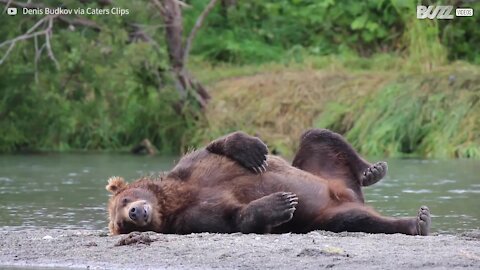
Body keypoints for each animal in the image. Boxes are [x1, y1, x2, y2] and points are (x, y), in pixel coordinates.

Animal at [105, 130, 432, 235]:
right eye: (122, 224)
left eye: (124, 199)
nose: (134, 212)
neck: (173, 200)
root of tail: (348, 193)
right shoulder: (191, 218)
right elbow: (234, 218)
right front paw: (279, 204)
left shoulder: (191, 170)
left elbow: (215, 146)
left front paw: (252, 150)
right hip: (328, 214)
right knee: (355, 220)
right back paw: (416, 222)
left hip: (323, 169)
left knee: (318, 137)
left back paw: (371, 170)